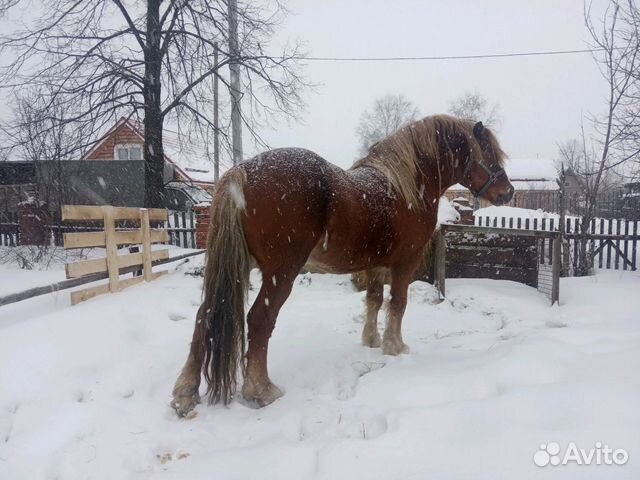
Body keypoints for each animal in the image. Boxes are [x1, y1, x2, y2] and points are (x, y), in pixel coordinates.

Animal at [171, 114, 516, 414]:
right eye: (488, 153)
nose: (508, 191)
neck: (406, 186)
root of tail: (240, 172)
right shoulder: (404, 263)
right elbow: (398, 302)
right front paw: (395, 346)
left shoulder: (375, 265)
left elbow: (374, 300)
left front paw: (372, 340)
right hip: (280, 273)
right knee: (259, 320)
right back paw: (262, 390)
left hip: (237, 268)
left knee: (205, 315)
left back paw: (185, 392)